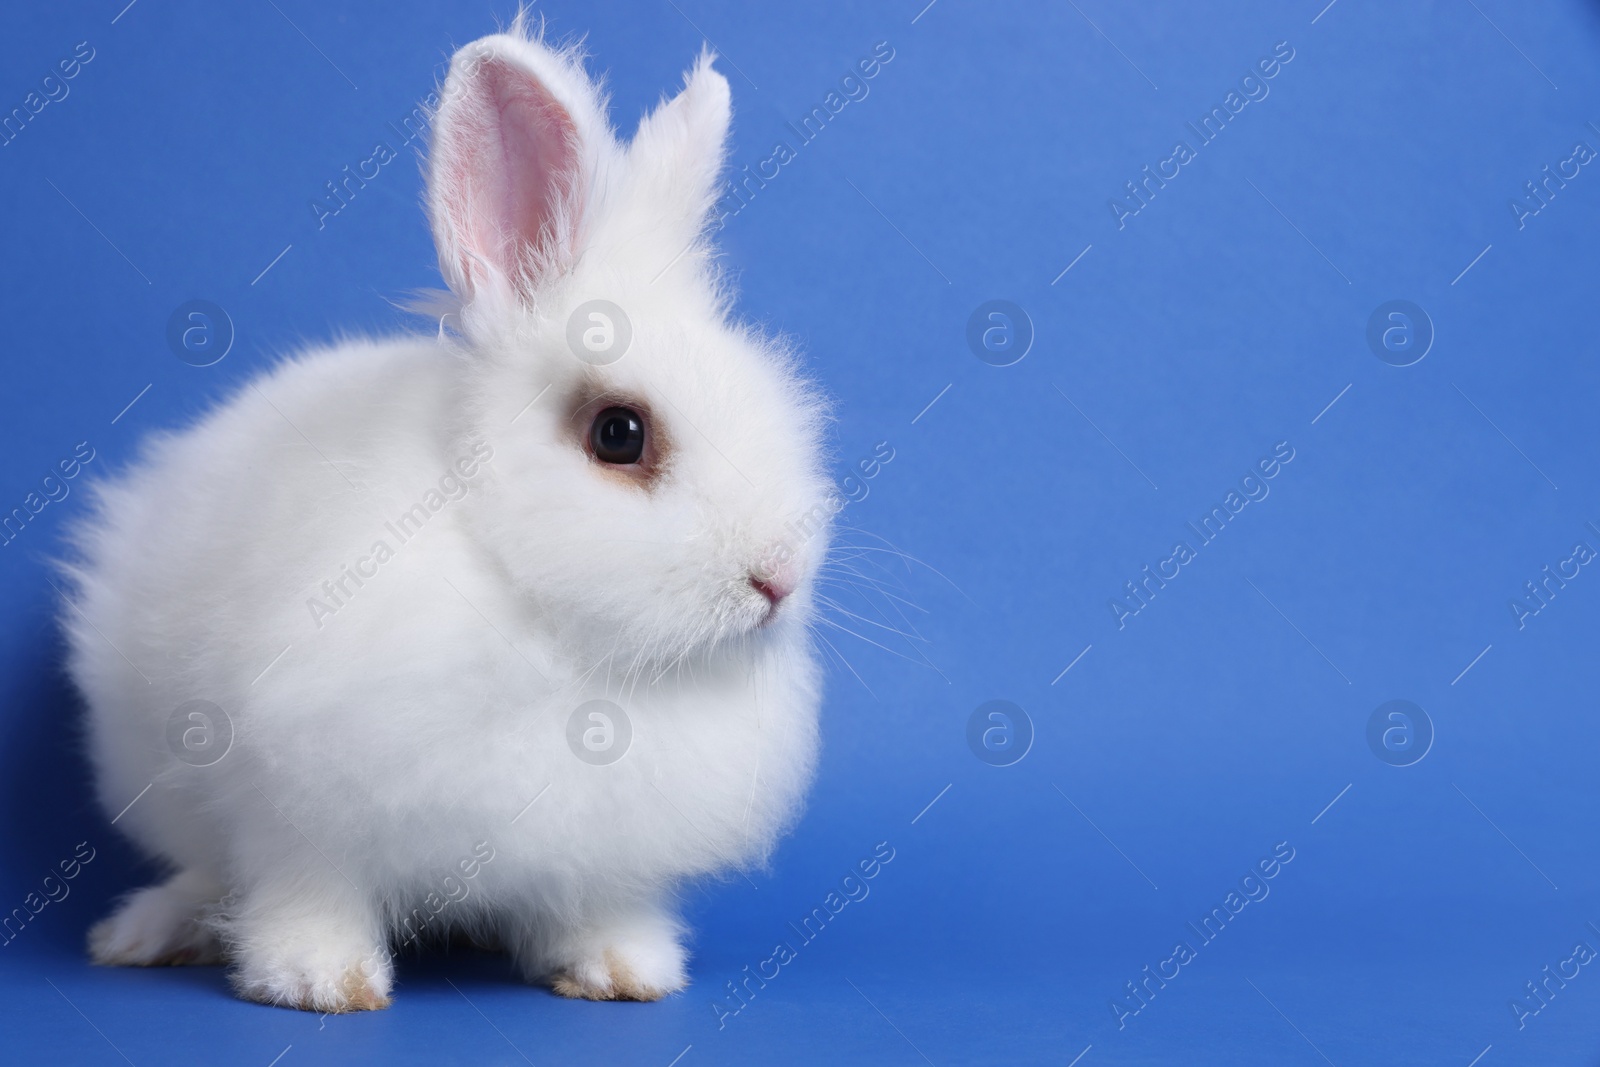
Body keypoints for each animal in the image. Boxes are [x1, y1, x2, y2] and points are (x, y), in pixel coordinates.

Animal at [59, 18, 838, 1017]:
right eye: (619, 434)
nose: (778, 579)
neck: (545, 619)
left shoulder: (599, 855)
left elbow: (593, 905)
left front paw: (624, 971)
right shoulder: (295, 807)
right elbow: (305, 891)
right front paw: (320, 981)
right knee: (204, 871)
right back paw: (145, 934)